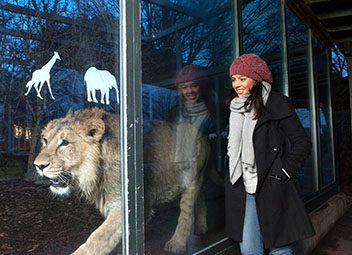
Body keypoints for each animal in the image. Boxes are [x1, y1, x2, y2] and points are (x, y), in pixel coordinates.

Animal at [33, 107, 209, 255]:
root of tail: (202, 133)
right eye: (45, 140)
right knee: (201, 198)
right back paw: (201, 227)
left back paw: (177, 243)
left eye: (65, 142)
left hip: (193, 177)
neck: (96, 171)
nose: (38, 165)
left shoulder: (127, 207)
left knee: (186, 211)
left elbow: (97, 240)